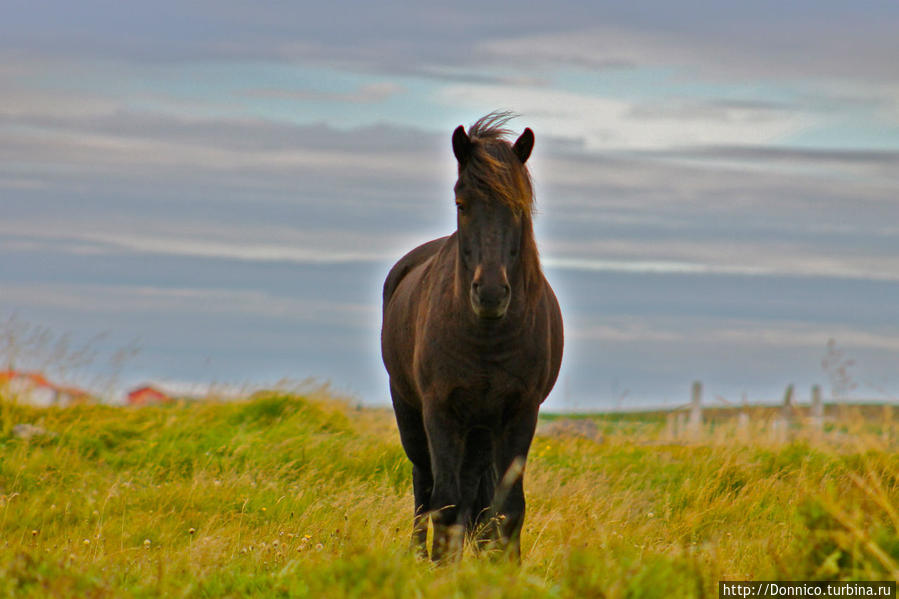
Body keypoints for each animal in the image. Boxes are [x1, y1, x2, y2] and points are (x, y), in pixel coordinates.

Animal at [380, 112, 564, 564]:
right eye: (461, 204)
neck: (488, 337)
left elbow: (508, 507)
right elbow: (444, 503)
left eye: (518, 208)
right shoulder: (440, 411)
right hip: (411, 413)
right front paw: (443, 568)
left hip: (480, 429)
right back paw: (420, 554)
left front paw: (505, 566)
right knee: (424, 484)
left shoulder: (520, 413)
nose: (492, 293)